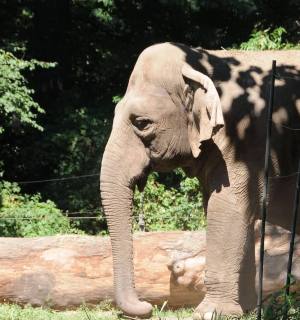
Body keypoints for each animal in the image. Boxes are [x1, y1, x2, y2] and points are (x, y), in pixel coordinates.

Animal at [99, 42, 300, 318]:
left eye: (142, 122)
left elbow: (226, 210)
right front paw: (243, 311)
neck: (203, 62)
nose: (148, 307)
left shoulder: (247, 141)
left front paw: (210, 312)